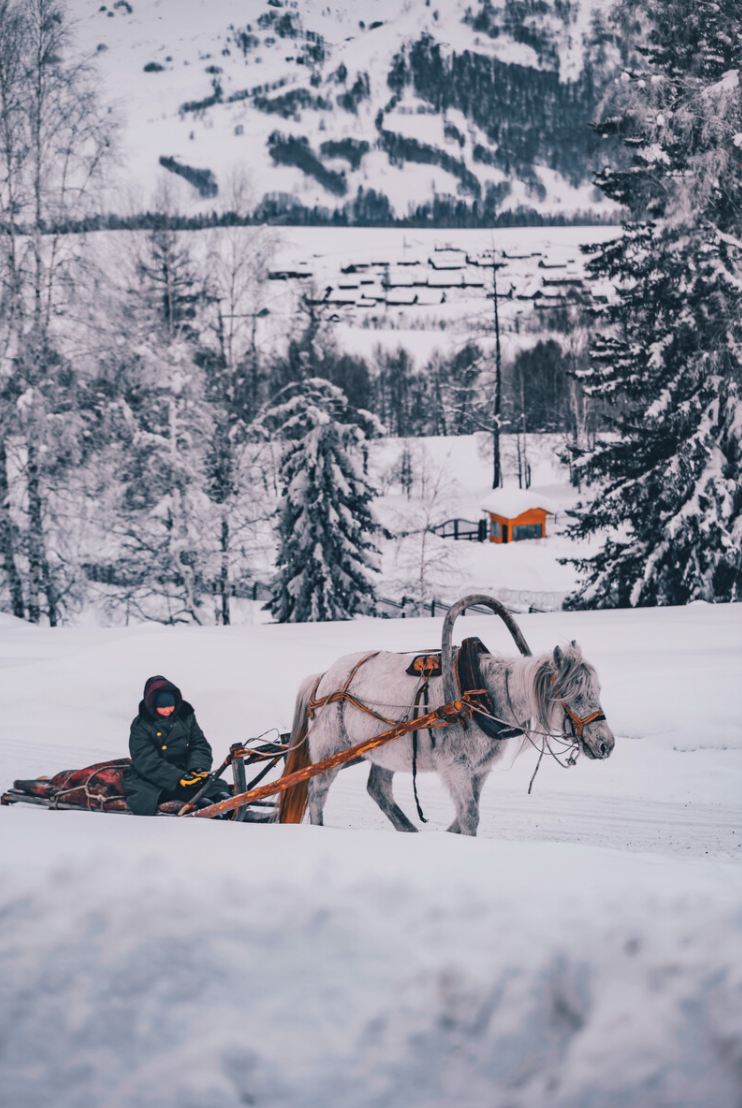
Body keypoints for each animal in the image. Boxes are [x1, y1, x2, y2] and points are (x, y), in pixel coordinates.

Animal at [279, 598, 615, 833]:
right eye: (574, 695)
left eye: (598, 690)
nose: (606, 744)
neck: (482, 694)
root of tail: (324, 677)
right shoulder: (456, 766)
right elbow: (470, 816)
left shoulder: (479, 769)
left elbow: (465, 815)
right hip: (331, 750)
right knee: (317, 791)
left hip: (385, 750)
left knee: (378, 789)